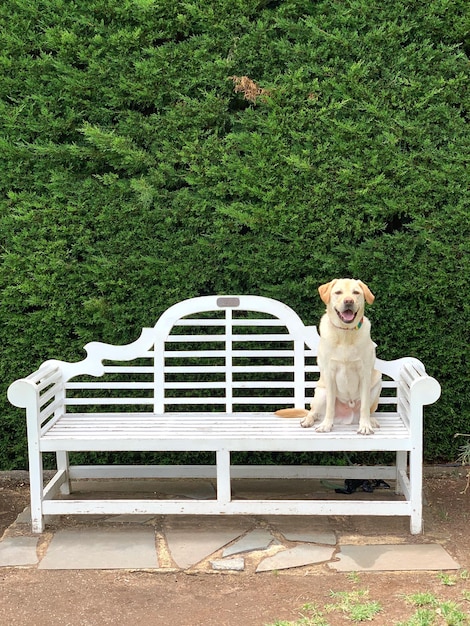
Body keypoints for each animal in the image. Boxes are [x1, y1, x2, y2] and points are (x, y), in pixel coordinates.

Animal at [276, 278, 382, 434]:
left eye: (356, 292)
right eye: (338, 292)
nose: (348, 301)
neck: (345, 333)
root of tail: (347, 417)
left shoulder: (365, 374)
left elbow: (364, 407)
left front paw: (365, 426)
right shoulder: (329, 374)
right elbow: (330, 406)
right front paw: (326, 425)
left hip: (377, 381)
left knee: (367, 409)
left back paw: (371, 421)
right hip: (321, 392)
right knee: (313, 412)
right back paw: (308, 420)